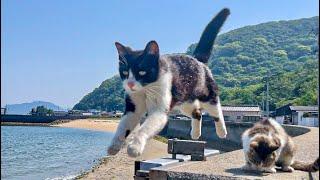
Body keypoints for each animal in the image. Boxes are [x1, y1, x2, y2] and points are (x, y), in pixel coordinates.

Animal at [107, 7, 230, 157]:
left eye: (142, 72)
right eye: (125, 72)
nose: (129, 84)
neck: (145, 89)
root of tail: (197, 60)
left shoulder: (160, 107)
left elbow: (145, 128)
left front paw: (134, 147)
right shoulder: (133, 105)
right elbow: (123, 125)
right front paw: (114, 145)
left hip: (205, 91)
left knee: (215, 106)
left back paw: (222, 131)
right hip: (184, 101)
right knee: (197, 112)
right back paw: (195, 134)